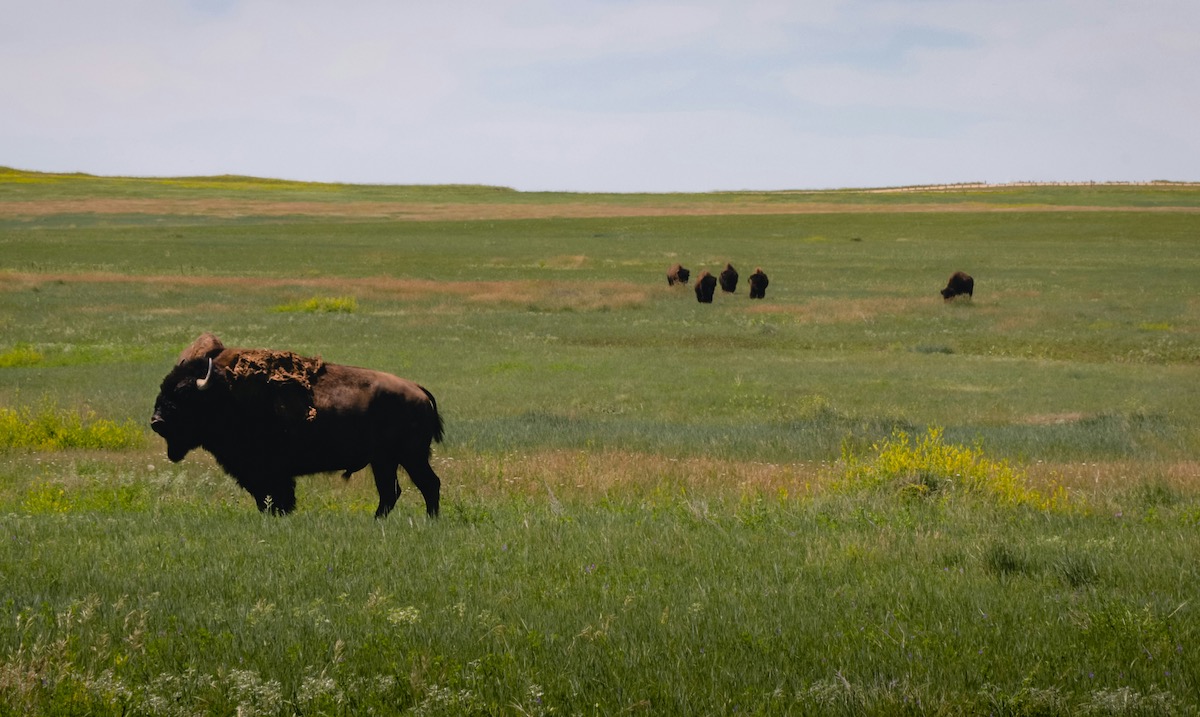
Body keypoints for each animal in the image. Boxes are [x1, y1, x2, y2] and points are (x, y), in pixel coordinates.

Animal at [150, 333, 444, 518]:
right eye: (163, 390)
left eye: (185, 395)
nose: (157, 421)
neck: (223, 392)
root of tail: (419, 391)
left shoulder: (269, 473)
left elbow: (275, 498)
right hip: (385, 460)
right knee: (391, 493)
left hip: (409, 456)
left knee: (428, 485)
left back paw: (430, 520)